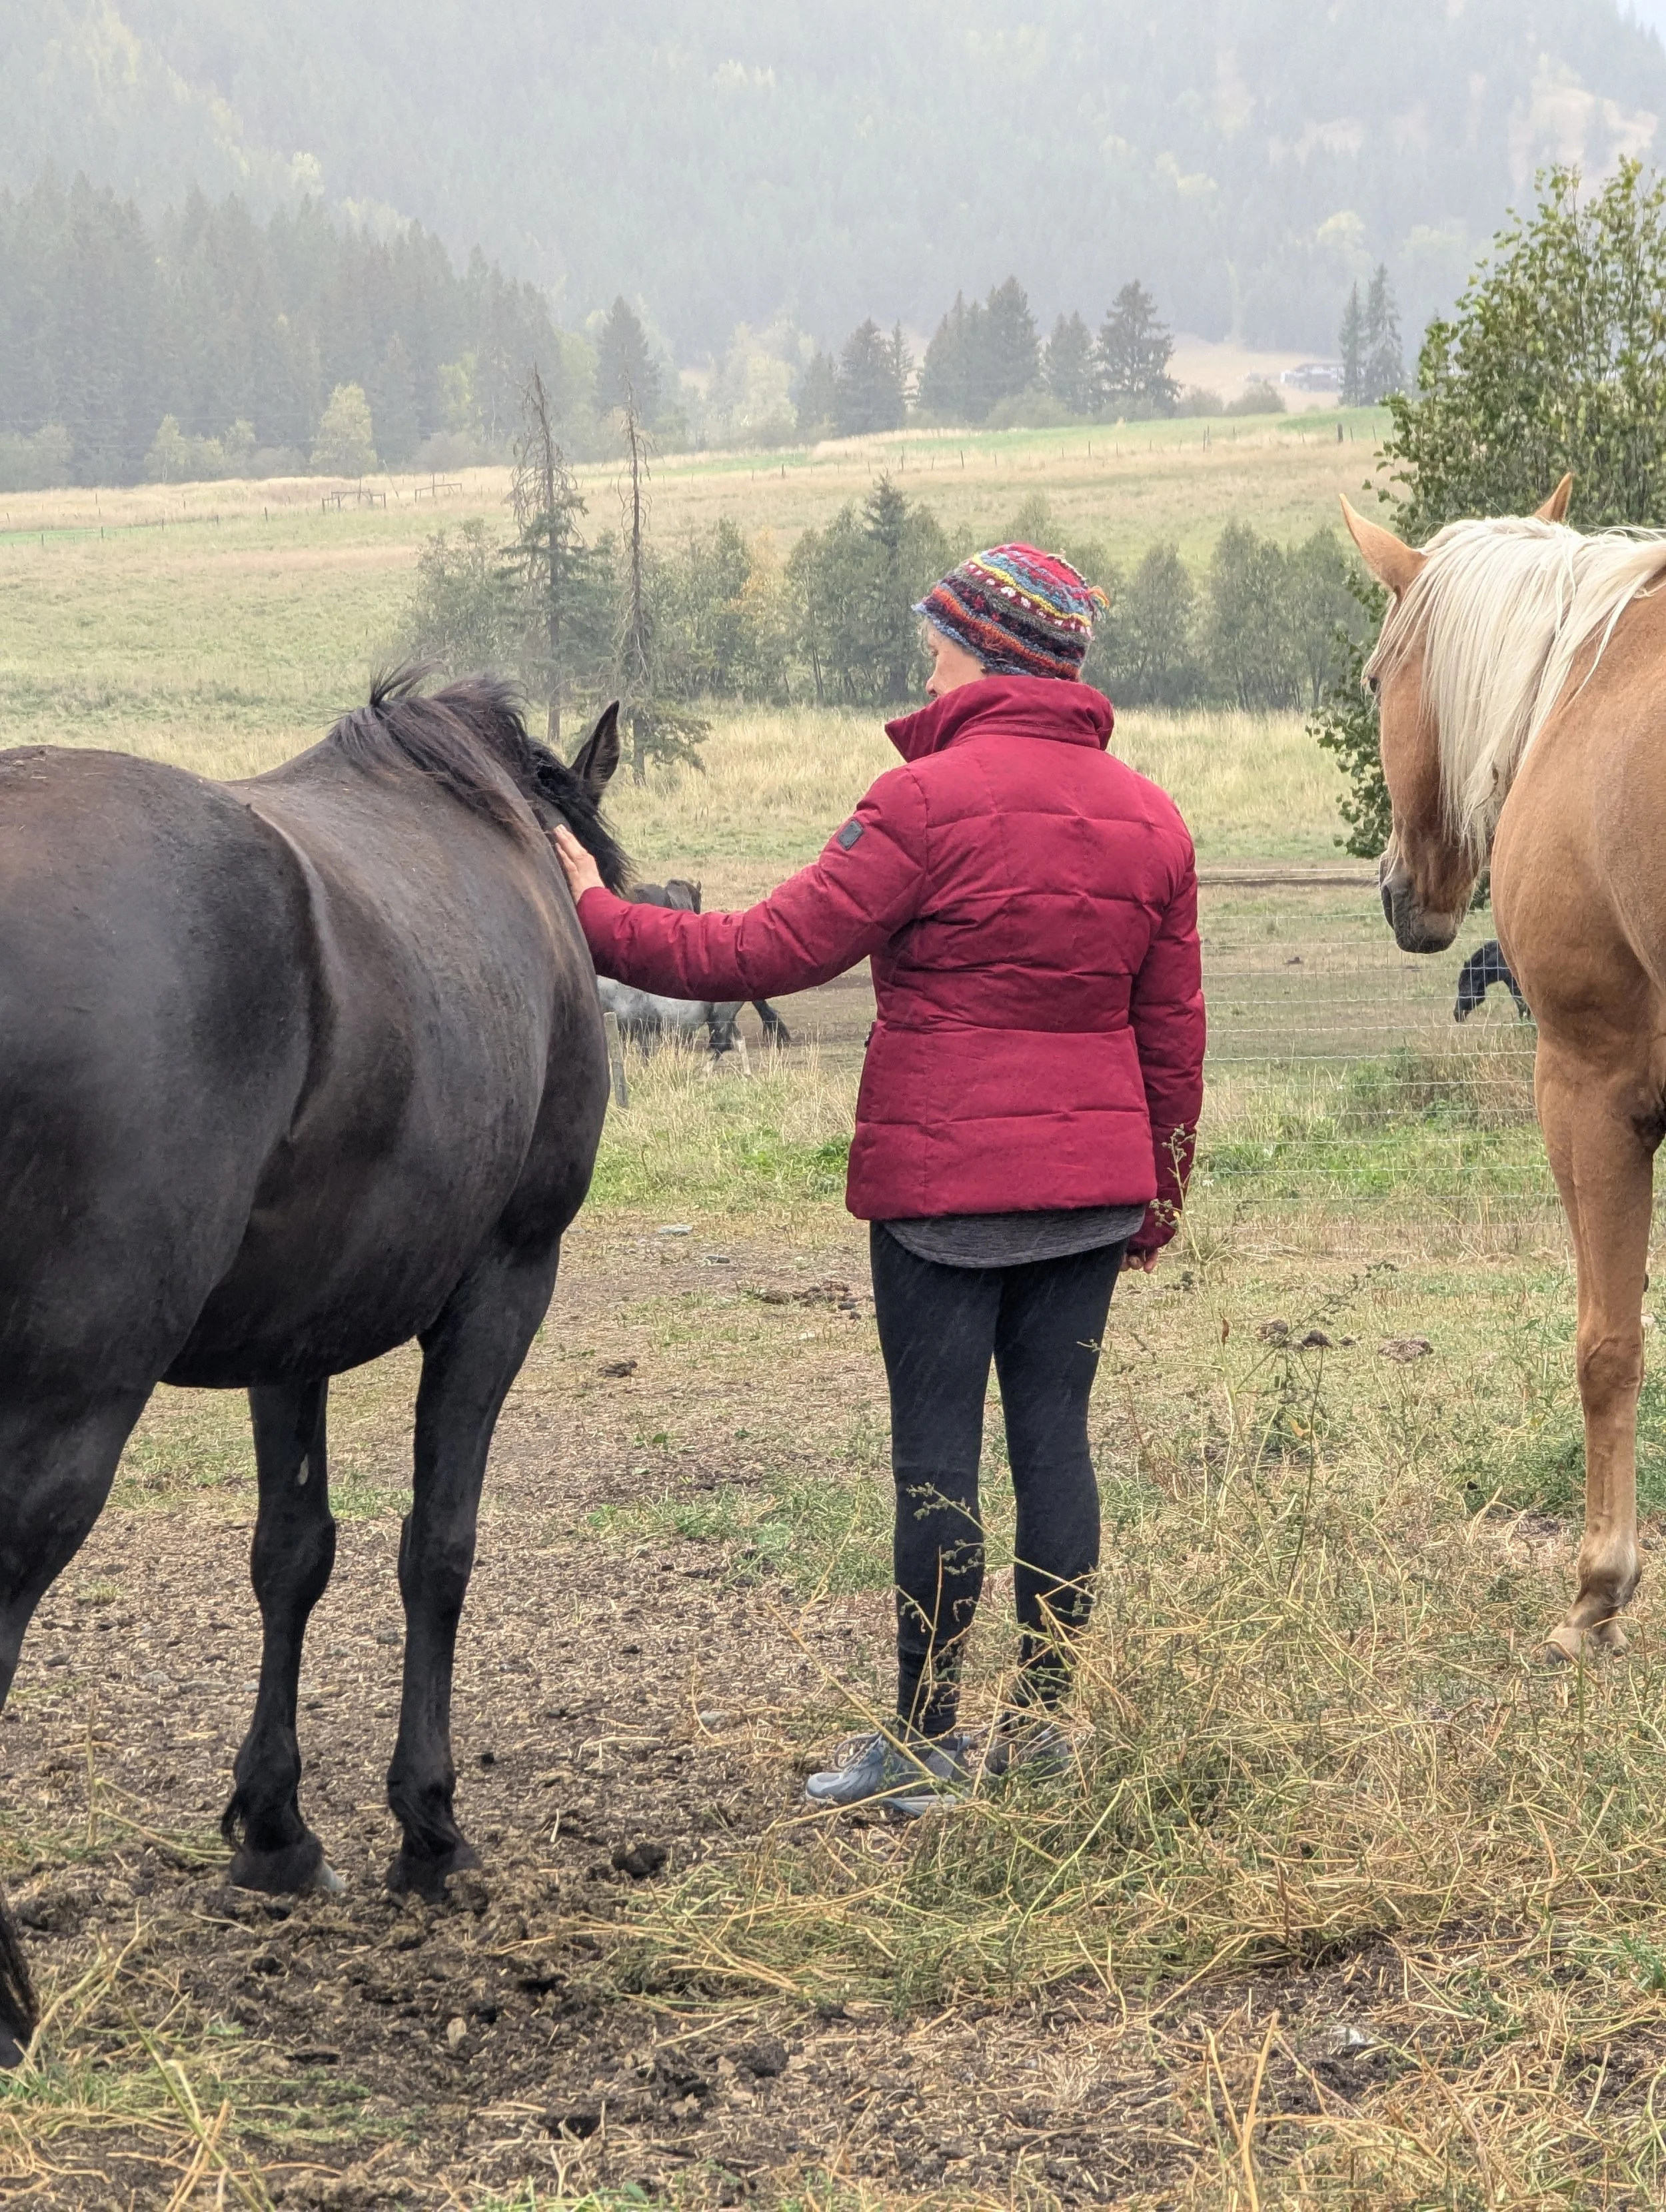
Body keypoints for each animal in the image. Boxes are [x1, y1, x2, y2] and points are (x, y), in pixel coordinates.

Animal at [0, 672, 628, 2063]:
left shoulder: (291, 1339)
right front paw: (429, 1827)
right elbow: (437, 1548)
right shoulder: (507, 1282)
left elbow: (292, 1553)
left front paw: (277, 1831)